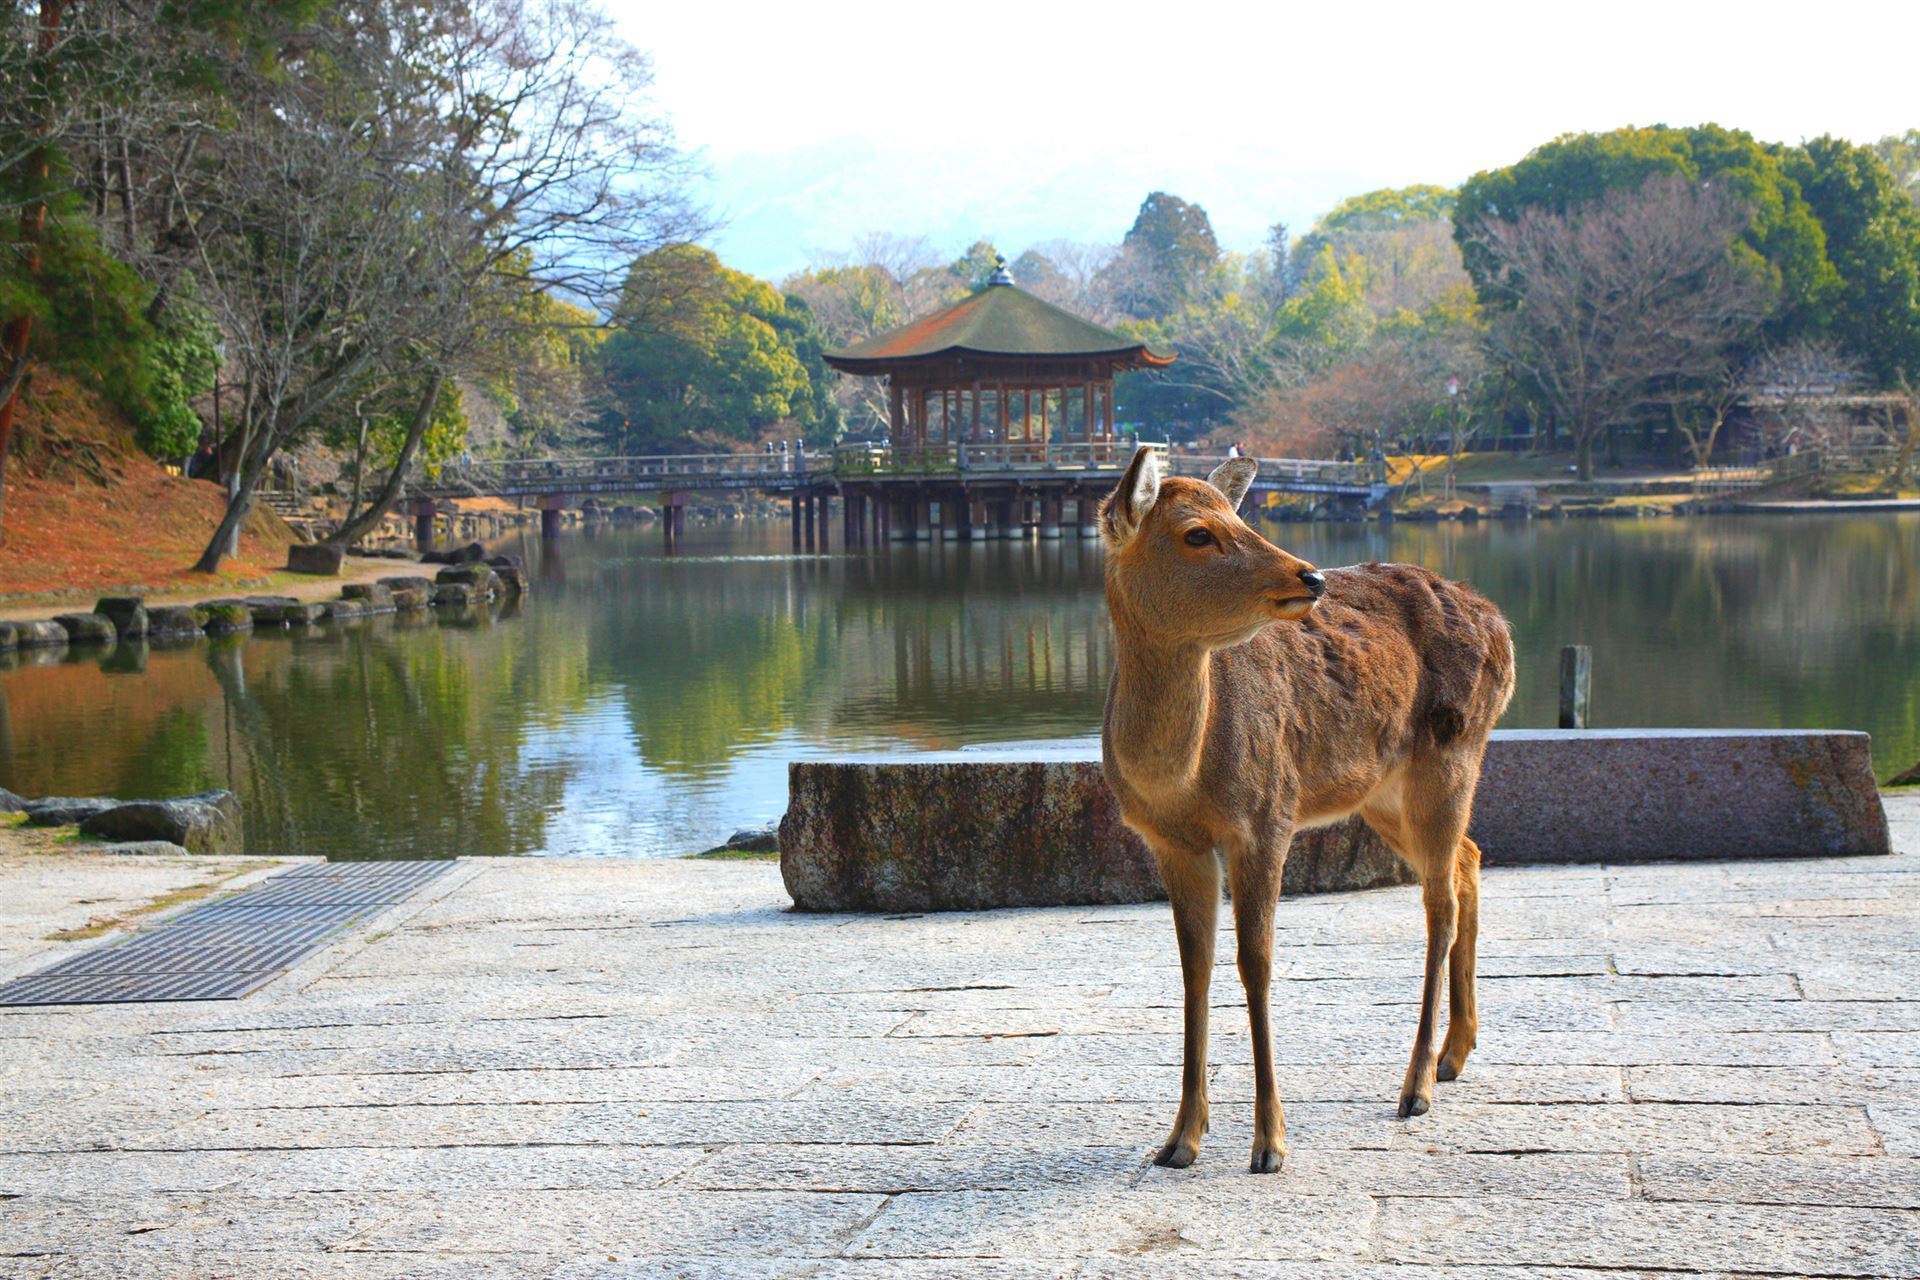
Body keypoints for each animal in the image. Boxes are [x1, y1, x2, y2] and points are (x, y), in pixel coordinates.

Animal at [1098, 445, 1515, 1173]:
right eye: (1197, 533)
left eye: (1240, 516)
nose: (1312, 575)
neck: (1180, 778)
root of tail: (1504, 627)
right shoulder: (1171, 842)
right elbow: (1193, 967)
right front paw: (1179, 1140)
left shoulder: (1267, 815)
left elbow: (1256, 963)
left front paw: (1270, 1143)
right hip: (1380, 790)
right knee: (1469, 857)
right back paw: (1456, 1053)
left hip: (1453, 754)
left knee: (1439, 901)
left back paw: (1417, 1086)